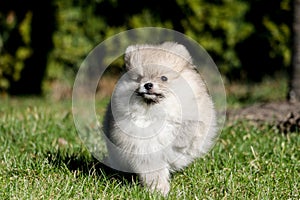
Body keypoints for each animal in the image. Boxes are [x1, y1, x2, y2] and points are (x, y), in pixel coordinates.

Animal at [104, 41, 217, 196]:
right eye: (138, 78)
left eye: (164, 78)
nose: (148, 84)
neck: (157, 112)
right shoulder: (144, 150)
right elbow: (154, 172)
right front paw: (159, 190)